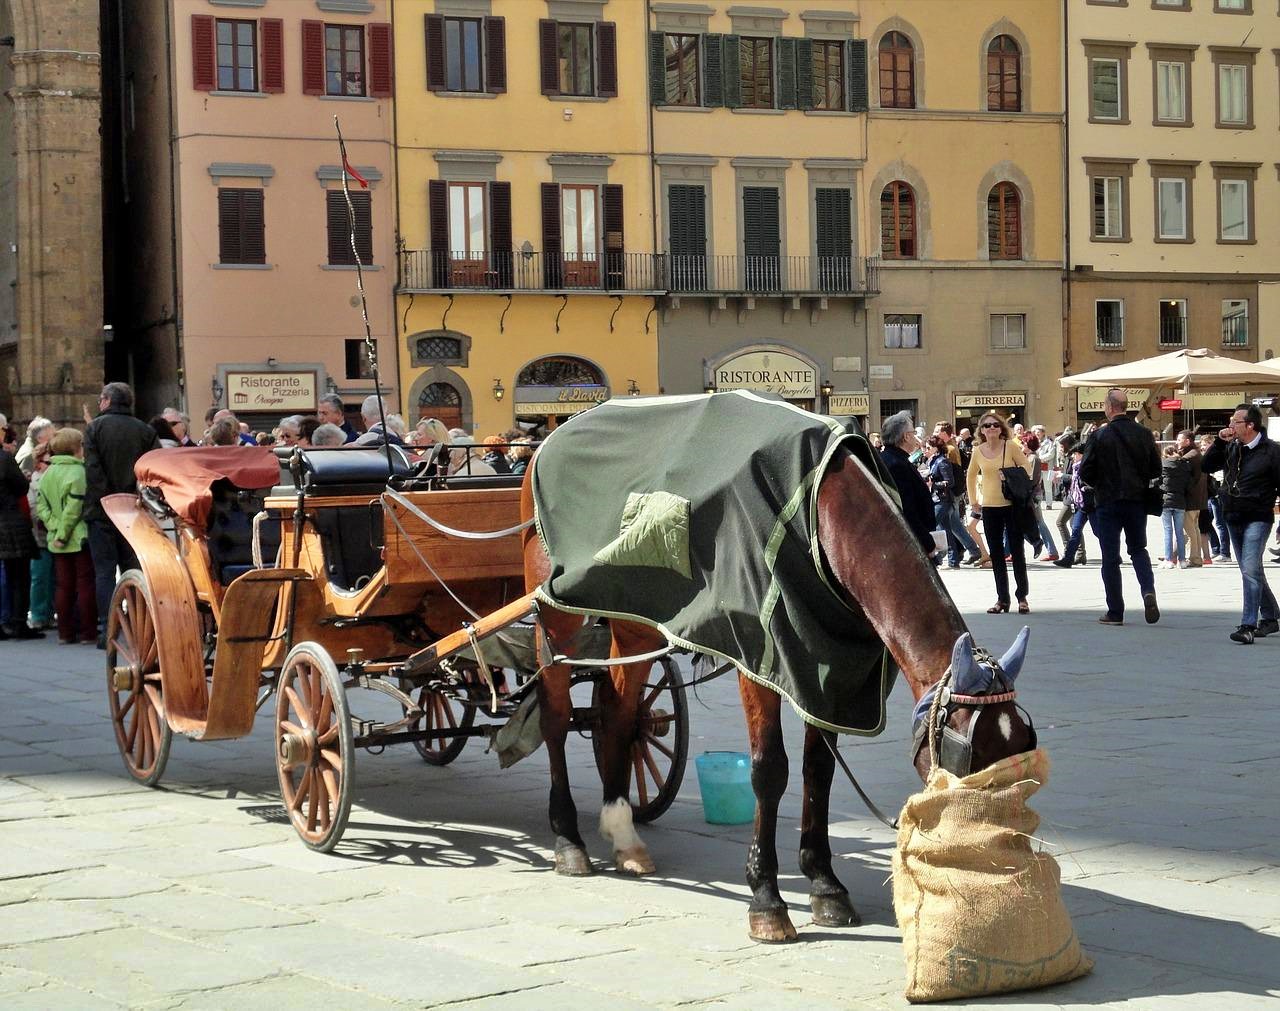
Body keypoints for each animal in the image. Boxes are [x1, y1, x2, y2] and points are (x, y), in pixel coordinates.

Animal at [514, 440, 1034, 941]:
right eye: (968, 758)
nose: (1000, 857)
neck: (821, 514)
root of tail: (541, 448)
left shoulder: (825, 671)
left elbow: (818, 771)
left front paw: (825, 884)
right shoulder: (757, 658)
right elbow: (769, 771)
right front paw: (766, 898)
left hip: (634, 619)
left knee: (619, 713)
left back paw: (623, 833)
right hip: (555, 616)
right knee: (555, 717)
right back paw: (568, 839)